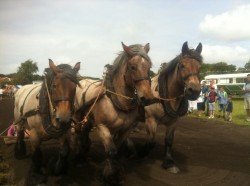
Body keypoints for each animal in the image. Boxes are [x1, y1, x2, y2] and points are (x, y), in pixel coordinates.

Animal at [73, 42, 153, 186]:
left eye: (149, 67)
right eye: (132, 67)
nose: (147, 98)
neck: (118, 102)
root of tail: (81, 81)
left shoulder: (125, 130)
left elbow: (117, 150)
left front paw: (114, 172)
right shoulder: (102, 127)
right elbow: (112, 151)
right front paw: (109, 176)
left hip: (89, 119)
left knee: (84, 132)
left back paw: (84, 150)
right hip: (78, 117)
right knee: (78, 132)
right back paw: (78, 157)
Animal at [142, 41, 202, 173]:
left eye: (200, 67)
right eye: (182, 65)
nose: (194, 91)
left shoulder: (173, 122)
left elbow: (169, 141)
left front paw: (169, 163)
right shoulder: (150, 120)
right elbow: (151, 140)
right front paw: (142, 152)